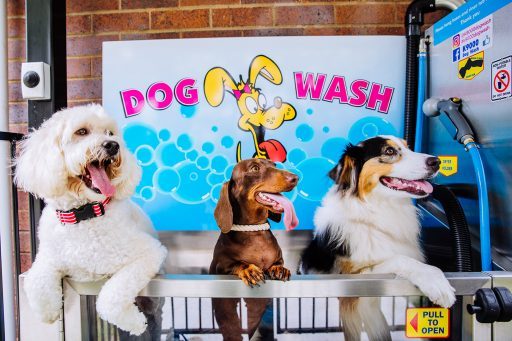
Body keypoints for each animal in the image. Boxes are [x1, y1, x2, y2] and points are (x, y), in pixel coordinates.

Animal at [15, 103, 167, 334]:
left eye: (110, 133)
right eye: (81, 132)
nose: (112, 145)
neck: (84, 214)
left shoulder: (149, 252)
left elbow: (110, 297)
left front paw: (134, 322)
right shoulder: (48, 256)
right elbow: (35, 280)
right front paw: (49, 313)